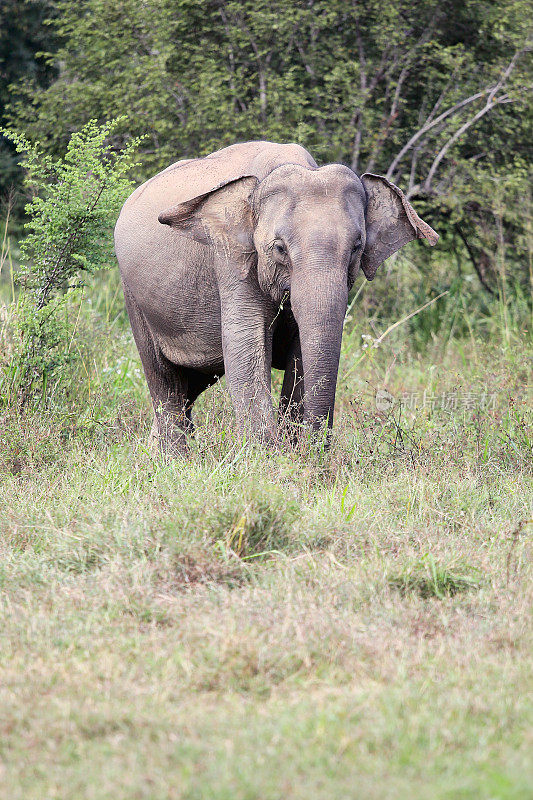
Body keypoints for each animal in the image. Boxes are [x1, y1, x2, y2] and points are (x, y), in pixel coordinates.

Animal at [113, 141, 436, 454]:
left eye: (357, 246)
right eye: (279, 248)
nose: (315, 449)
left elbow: (301, 353)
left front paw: (293, 453)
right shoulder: (233, 261)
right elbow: (245, 342)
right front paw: (267, 457)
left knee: (190, 385)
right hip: (134, 296)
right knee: (164, 379)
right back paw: (174, 460)